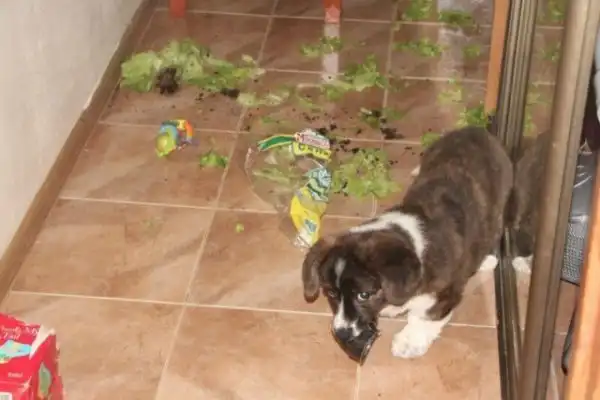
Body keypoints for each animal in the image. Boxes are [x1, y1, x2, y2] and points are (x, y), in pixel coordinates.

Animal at [301, 126, 513, 359]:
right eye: (331, 293)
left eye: (364, 295)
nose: (341, 334)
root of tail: (476, 130)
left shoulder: (445, 293)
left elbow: (425, 316)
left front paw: (409, 342)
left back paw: (487, 259)